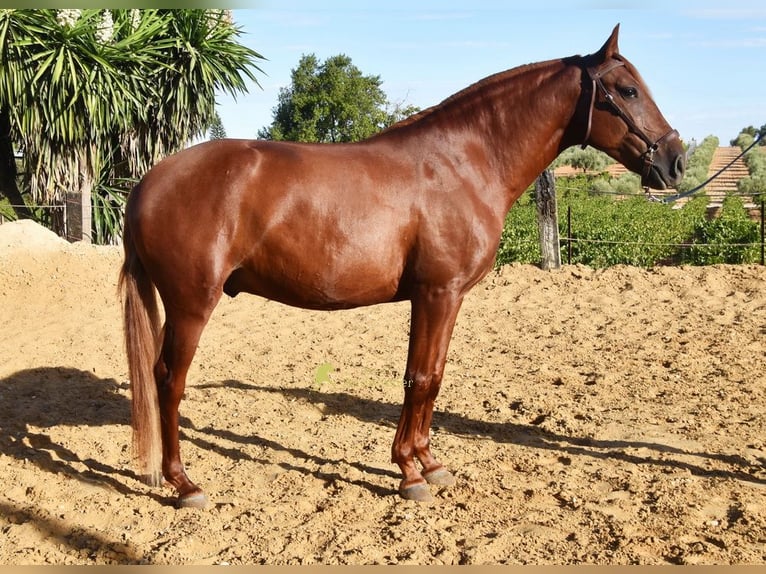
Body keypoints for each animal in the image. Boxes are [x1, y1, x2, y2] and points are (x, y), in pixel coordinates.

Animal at [119, 25, 686, 508]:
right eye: (627, 90)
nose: (675, 161)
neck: (463, 163)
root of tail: (149, 182)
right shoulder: (437, 293)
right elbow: (419, 377)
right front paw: (410, 475)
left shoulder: (447, 298)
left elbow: (433, 377)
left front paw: (430, 465)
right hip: (192, 305)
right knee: (168, 380)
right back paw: (183, 484)